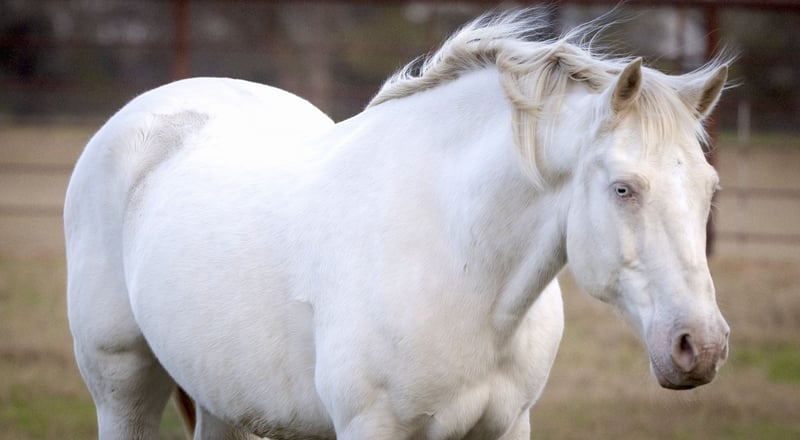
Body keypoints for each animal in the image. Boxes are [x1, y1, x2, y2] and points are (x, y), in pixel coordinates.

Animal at [65, 10, 731, 440]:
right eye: (624, 189)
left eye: (709, 189)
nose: (700, 347)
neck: (460, 267)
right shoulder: (372, 427)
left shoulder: (507, 426)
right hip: (120, 389)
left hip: (219, 394)